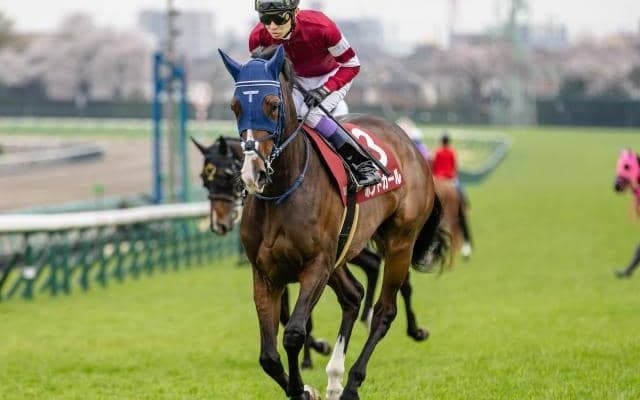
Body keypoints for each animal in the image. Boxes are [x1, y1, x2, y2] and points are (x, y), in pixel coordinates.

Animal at [218, 44, 447, 400]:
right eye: (235, 105)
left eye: (272, 105)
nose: (252, 173)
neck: (283, 191)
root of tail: (410, 144)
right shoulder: (266, 272)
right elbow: (268, 356)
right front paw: (303, 388)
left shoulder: (315, 265)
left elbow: (294, 333)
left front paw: (302, 388)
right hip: (344, 253)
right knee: (353, 295)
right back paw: (335, 378)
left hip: (399, 242)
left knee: (383, 311)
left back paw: (351, 382)